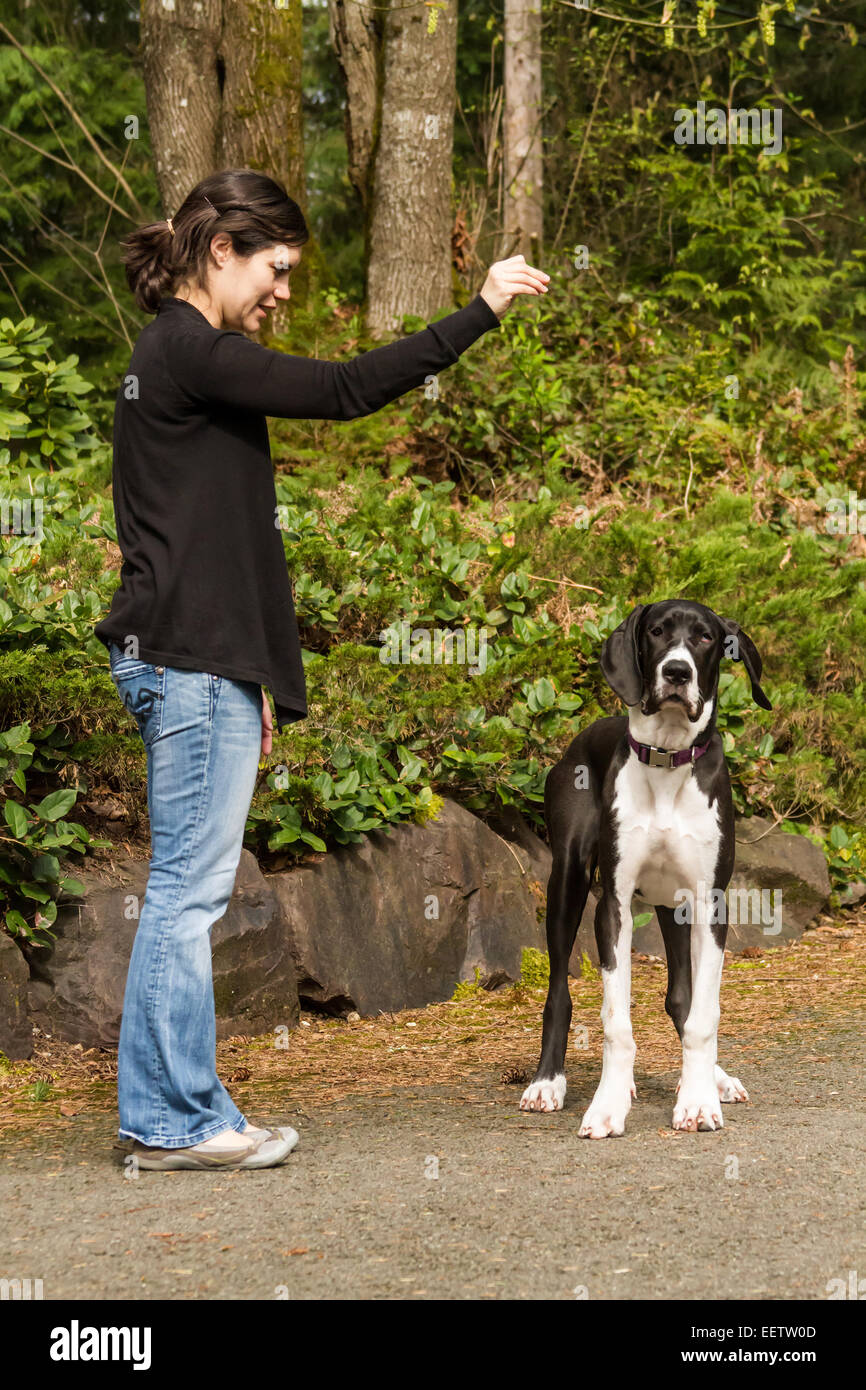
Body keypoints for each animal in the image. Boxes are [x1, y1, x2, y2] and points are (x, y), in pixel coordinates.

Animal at [522, 600, 772, 1139]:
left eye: (705, 637)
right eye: (656, 631)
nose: (676, 671)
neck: (668, 758)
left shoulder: (709, 906)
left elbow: (702, 1015)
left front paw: (698, 1100)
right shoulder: (612, 906)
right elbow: (616, 1021)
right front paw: (608, 1105)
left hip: (672, 908)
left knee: (682, 997)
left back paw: (715, 1078)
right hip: (568, 879)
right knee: (559, 993)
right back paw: (547, 1082)